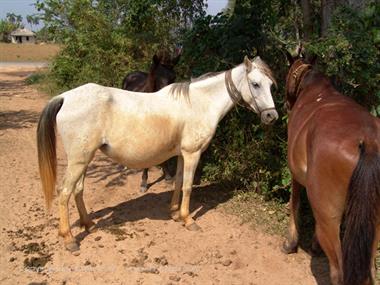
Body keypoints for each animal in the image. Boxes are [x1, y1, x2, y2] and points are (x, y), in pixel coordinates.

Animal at [284, 56, 380, 284]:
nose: (286, 103)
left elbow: (294, 202)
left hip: (329, 220)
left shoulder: (295, 174)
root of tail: (369, 141)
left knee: (338, 271)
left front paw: (291, 242)